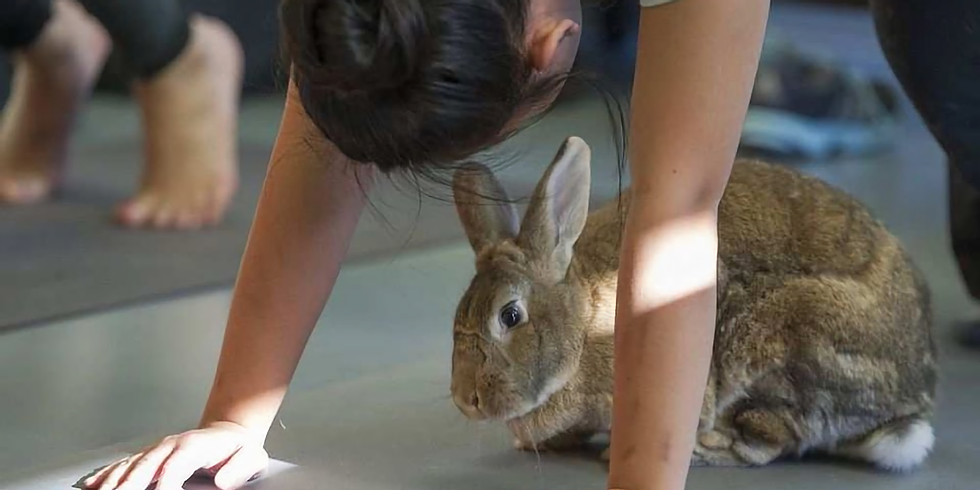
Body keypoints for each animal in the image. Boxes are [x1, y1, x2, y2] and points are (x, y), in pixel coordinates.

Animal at [448, 137, 936, 470]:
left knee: (770, 440)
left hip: (784, 338)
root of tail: (914, 396)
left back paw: (711, 446)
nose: (465, 400)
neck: (582, 327)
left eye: (510, 316)